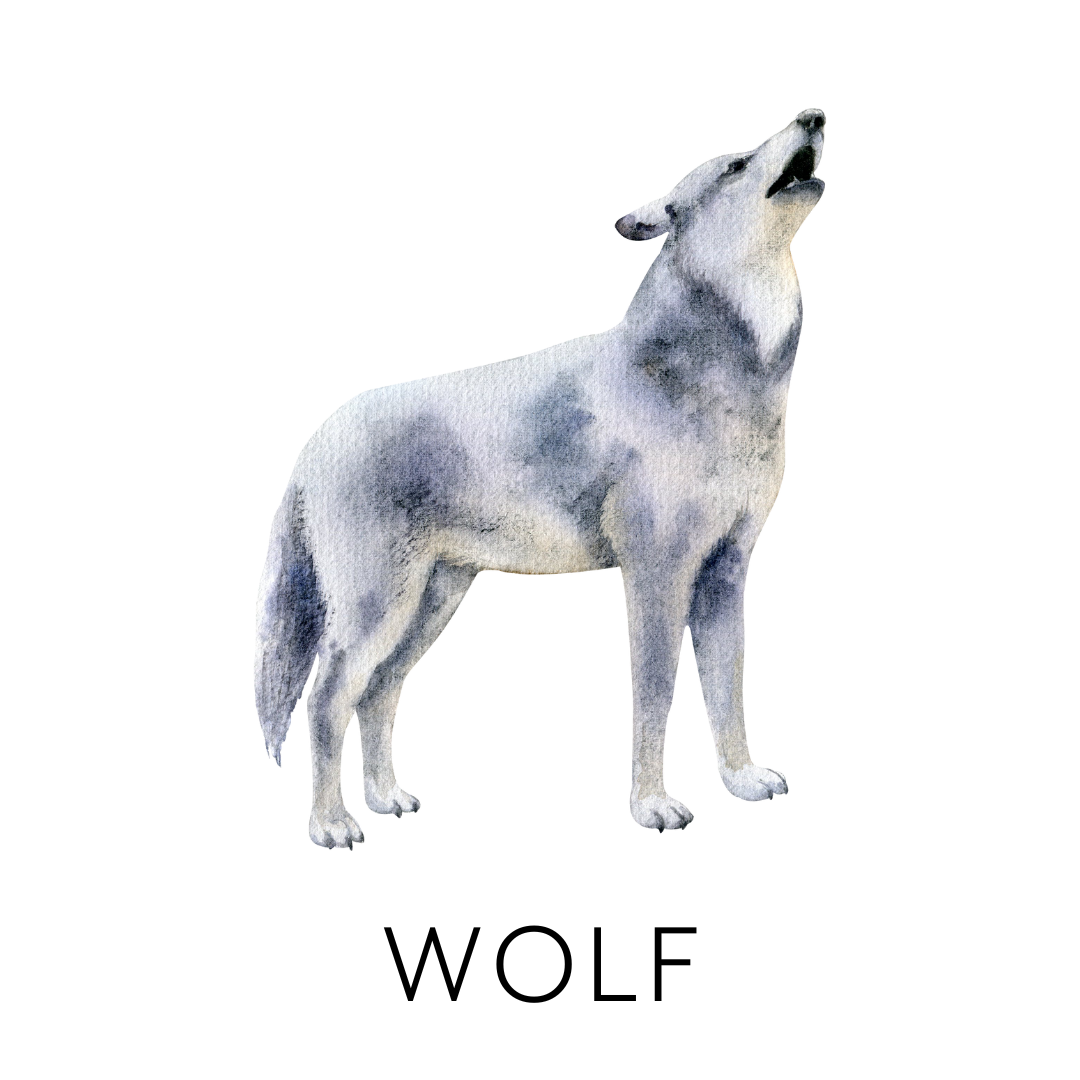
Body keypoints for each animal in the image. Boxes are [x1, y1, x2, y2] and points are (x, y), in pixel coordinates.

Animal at [255, 108, 826, 843]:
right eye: (737, 164)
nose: (812, 117)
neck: (721, 373)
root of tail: (314, 439)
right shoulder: (658, 577)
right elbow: (650, 699)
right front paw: (653, 806)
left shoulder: (725, 572)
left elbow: (727, 695)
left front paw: (744, 782)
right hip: (377, 610)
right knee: (325, 699)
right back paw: (329, 826)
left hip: (426, 609)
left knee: (374, 698)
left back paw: (385, 803)